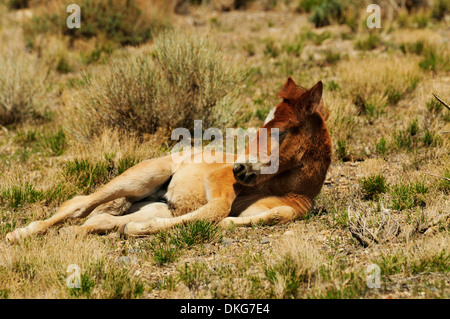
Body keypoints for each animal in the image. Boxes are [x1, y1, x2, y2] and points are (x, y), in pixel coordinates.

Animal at [6, 79, 330, 244]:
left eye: (281, 131)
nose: (238, 167)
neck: (282, 188)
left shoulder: (286, 211)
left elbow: (243, 218)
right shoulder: (219, 182)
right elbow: (215, 211)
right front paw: (138, 231)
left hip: (154, 204)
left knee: (101, 219)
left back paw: (75, 232)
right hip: (143, 176)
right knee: (79, 203)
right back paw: (19, 234)